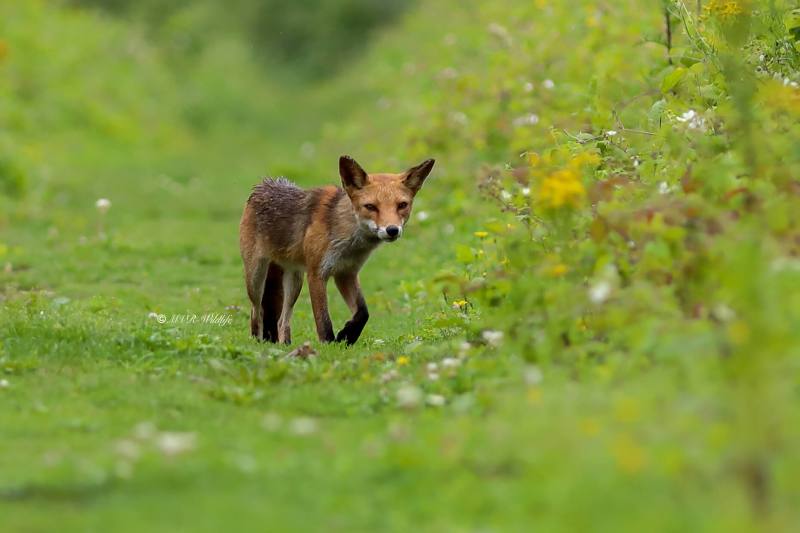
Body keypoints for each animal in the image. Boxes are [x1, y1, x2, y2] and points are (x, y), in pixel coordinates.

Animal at [239, 155, 435, 345]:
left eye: (402, 205)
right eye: (370, 206)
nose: (392, 230)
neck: (348, 239)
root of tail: (264, 184)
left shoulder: (346, 273)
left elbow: (363, 312)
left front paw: (347, 336)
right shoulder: (317, 274)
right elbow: (323, 319)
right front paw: (329, 345)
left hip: (294, 281)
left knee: (282, 320)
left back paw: (284, 345)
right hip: (256, 279)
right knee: (257, 311)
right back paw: (259, 341)